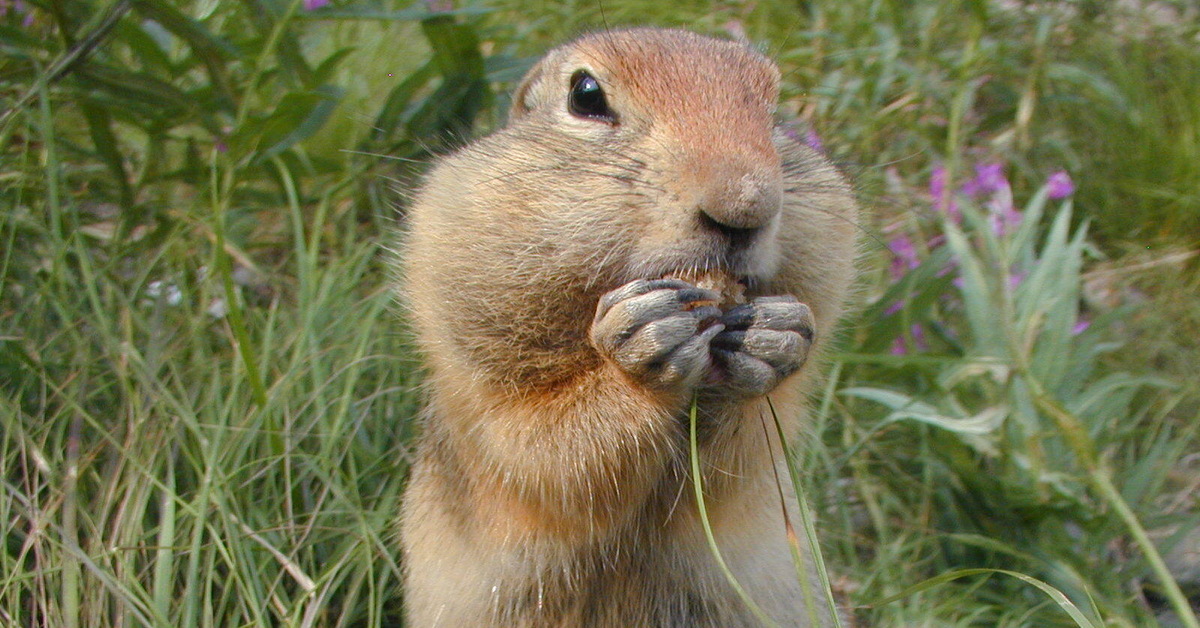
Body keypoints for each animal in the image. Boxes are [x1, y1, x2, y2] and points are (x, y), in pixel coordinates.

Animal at [398, 27, 859, 624]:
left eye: (773, 108)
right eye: (586, 95)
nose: (745, 207)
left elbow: (739, 464)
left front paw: (775, 336)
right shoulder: (478, 375)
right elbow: (542, 451)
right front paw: (642, 347)